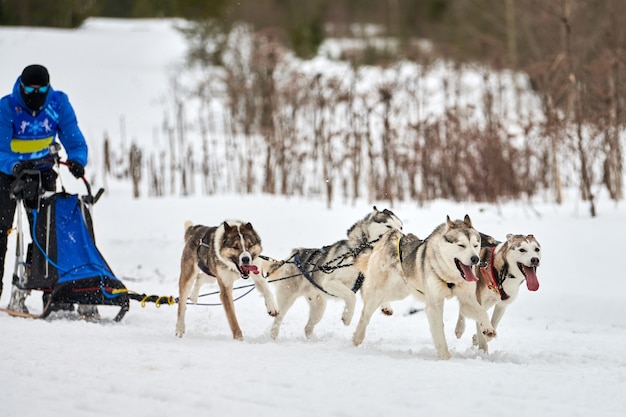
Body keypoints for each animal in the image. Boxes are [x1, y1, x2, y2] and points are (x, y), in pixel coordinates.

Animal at [266, 206, 402, 340]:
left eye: (401, 227)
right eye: (388, 226)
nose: (402, 236)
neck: (360, 251)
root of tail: (295, 253)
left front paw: (386, 306)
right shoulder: (329, 283)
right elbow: (351, 296)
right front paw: (347, 317)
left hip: (319, 308)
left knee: (308, 326)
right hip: (287, 298)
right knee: (279, 318)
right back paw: (273, 335)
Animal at [352, 214, 492, 358]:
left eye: (475, 245)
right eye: (461, 245)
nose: (475, 259)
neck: (449, 276)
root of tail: (391, 235)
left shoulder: (466, 299)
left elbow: (482, 312)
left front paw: (488, 328)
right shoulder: (434, 306)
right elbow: (440, 335)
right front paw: (445, 358)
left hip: (400, 292)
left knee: (384, 299)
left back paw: (386, 307)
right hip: (378, 292)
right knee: (365, 314)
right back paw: (357, 338)